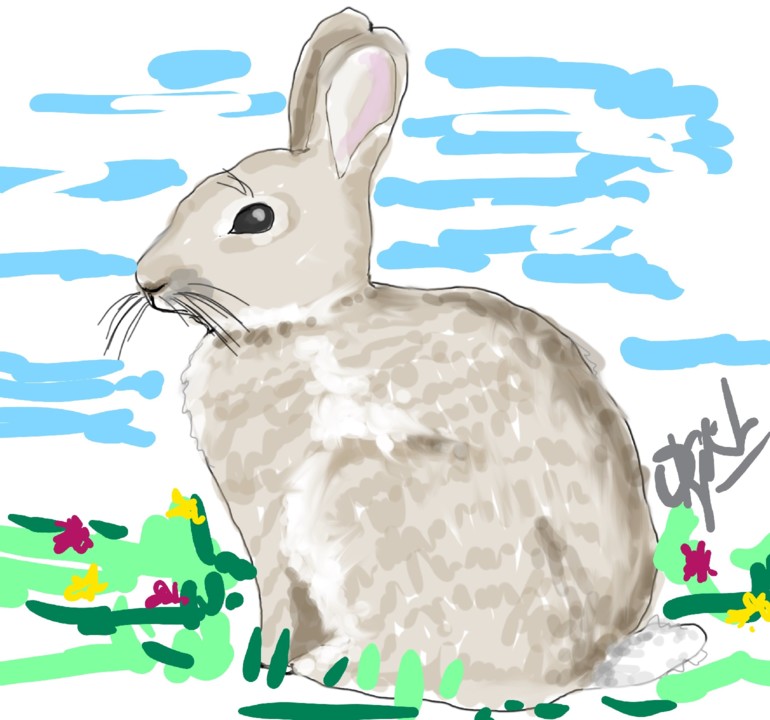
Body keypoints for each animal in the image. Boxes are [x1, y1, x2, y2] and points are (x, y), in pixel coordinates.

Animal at [132, 6, 706, 711]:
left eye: (255, 218)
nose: (147, 280)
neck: (307, 315)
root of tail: (592, 661)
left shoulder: (268, 521)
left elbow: (277, 600)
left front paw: (263, 663)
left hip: (361, 495)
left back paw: (335, 668)